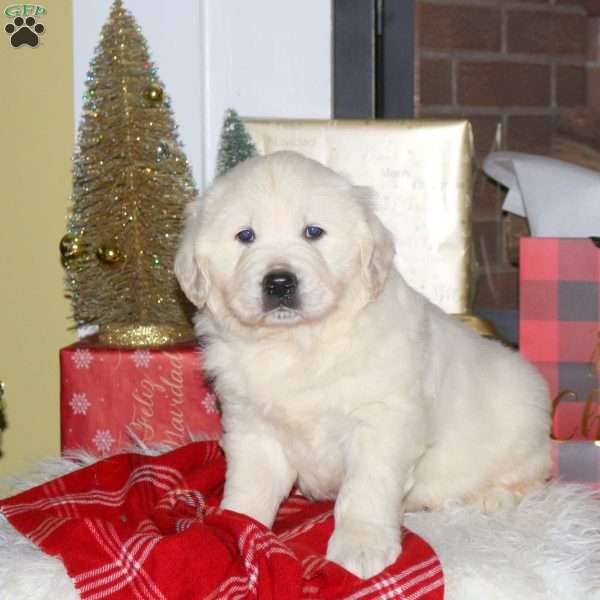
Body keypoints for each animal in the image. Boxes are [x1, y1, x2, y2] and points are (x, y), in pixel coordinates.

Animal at [175, 152, 552, 580]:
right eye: (245, 236)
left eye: (313, 232)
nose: (279, 283)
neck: (297, 344)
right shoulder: (253, 426)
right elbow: (249, 486)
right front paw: (235, 528)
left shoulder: (382, 423)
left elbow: (365, 490)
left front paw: (361, 545)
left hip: (524, 419)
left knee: (532, 474)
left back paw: (493, 496)